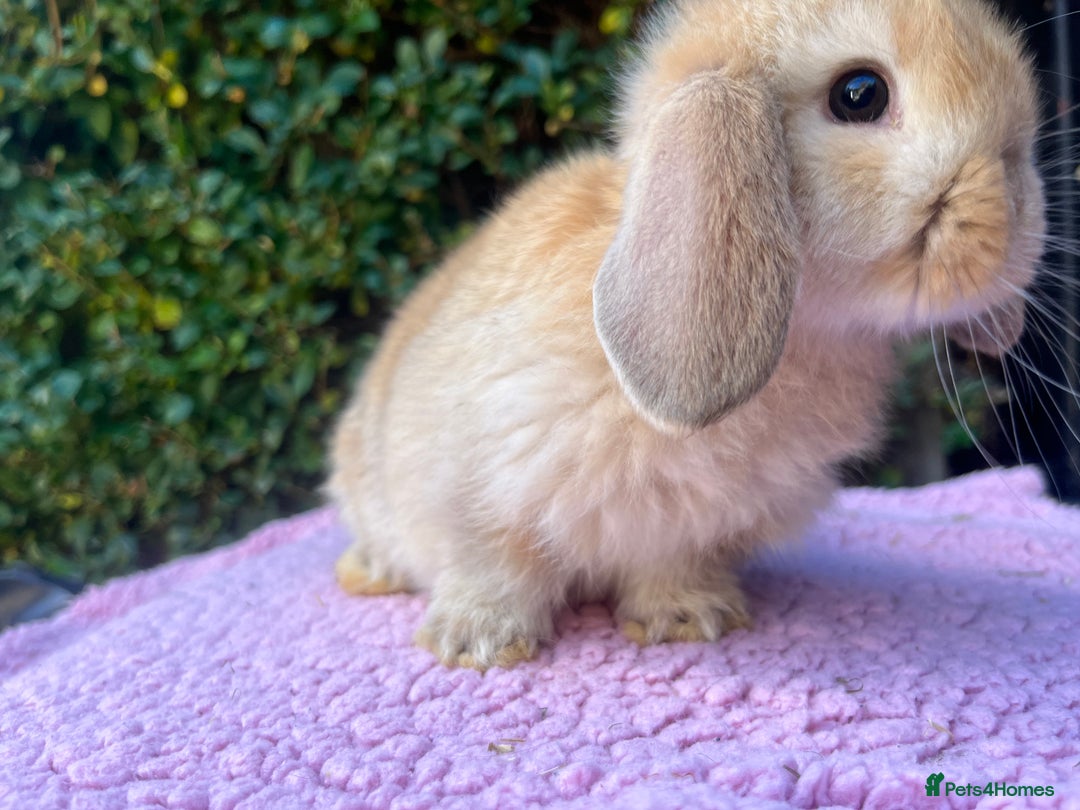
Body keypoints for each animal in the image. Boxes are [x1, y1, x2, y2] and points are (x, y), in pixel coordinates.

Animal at [327, 0, 1047, 670]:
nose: (1015, 214)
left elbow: (668, 567)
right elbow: (494, 563)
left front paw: (687, 619)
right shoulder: (476, 486)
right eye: (860, 93)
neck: (804, 333)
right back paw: (370, 575)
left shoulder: (692, 528)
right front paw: (479, 642)